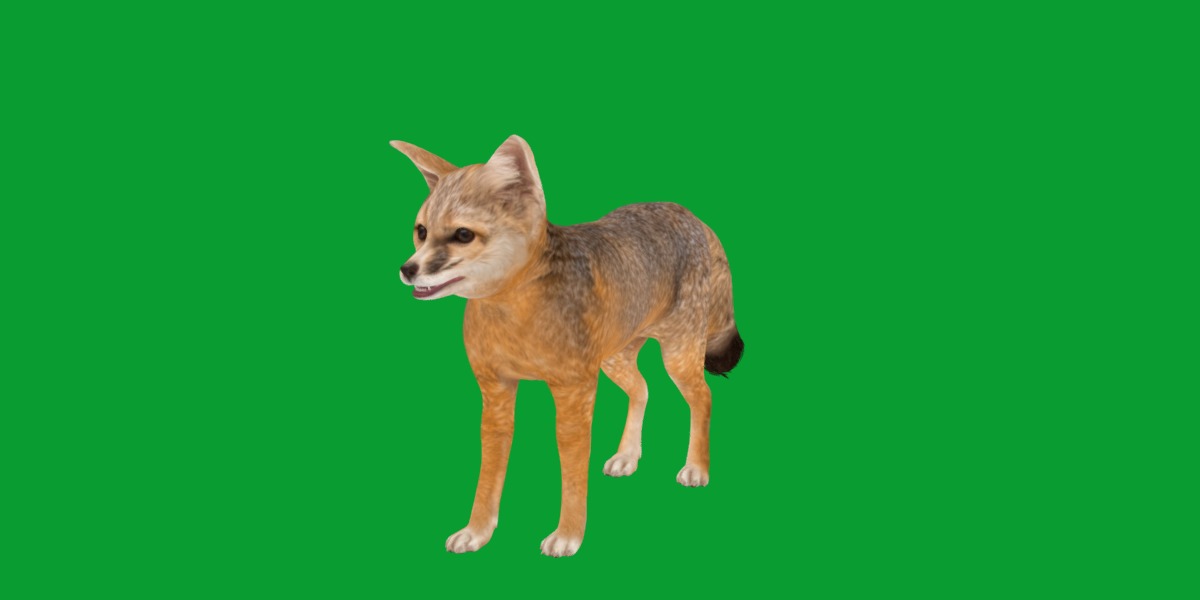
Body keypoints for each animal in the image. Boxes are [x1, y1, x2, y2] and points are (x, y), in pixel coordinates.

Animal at [391, 135, 743, 557]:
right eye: (421, 231)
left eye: (462, 235)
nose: (408, 269)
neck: (514, 320)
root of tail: (685, 211)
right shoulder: (496, 393)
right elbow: (489, 473)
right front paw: (477, 531)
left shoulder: (574, 392)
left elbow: (572, 470)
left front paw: (569, 534)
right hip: (614, 360)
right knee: (642, 390)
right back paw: (627, 456)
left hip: (677, 357)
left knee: (703, 397)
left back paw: (697, 468)